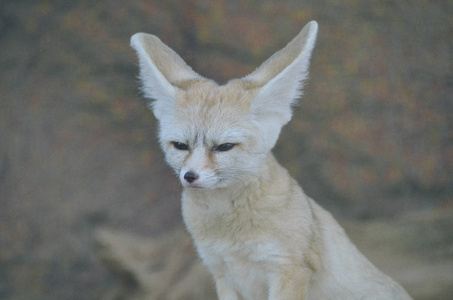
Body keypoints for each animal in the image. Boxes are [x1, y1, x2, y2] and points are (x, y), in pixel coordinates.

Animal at [130, 21, 410, 300]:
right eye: (180, 145)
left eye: (224, 147)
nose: (190, 176)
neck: (229, 232)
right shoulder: (222, 274)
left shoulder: (288, 269)